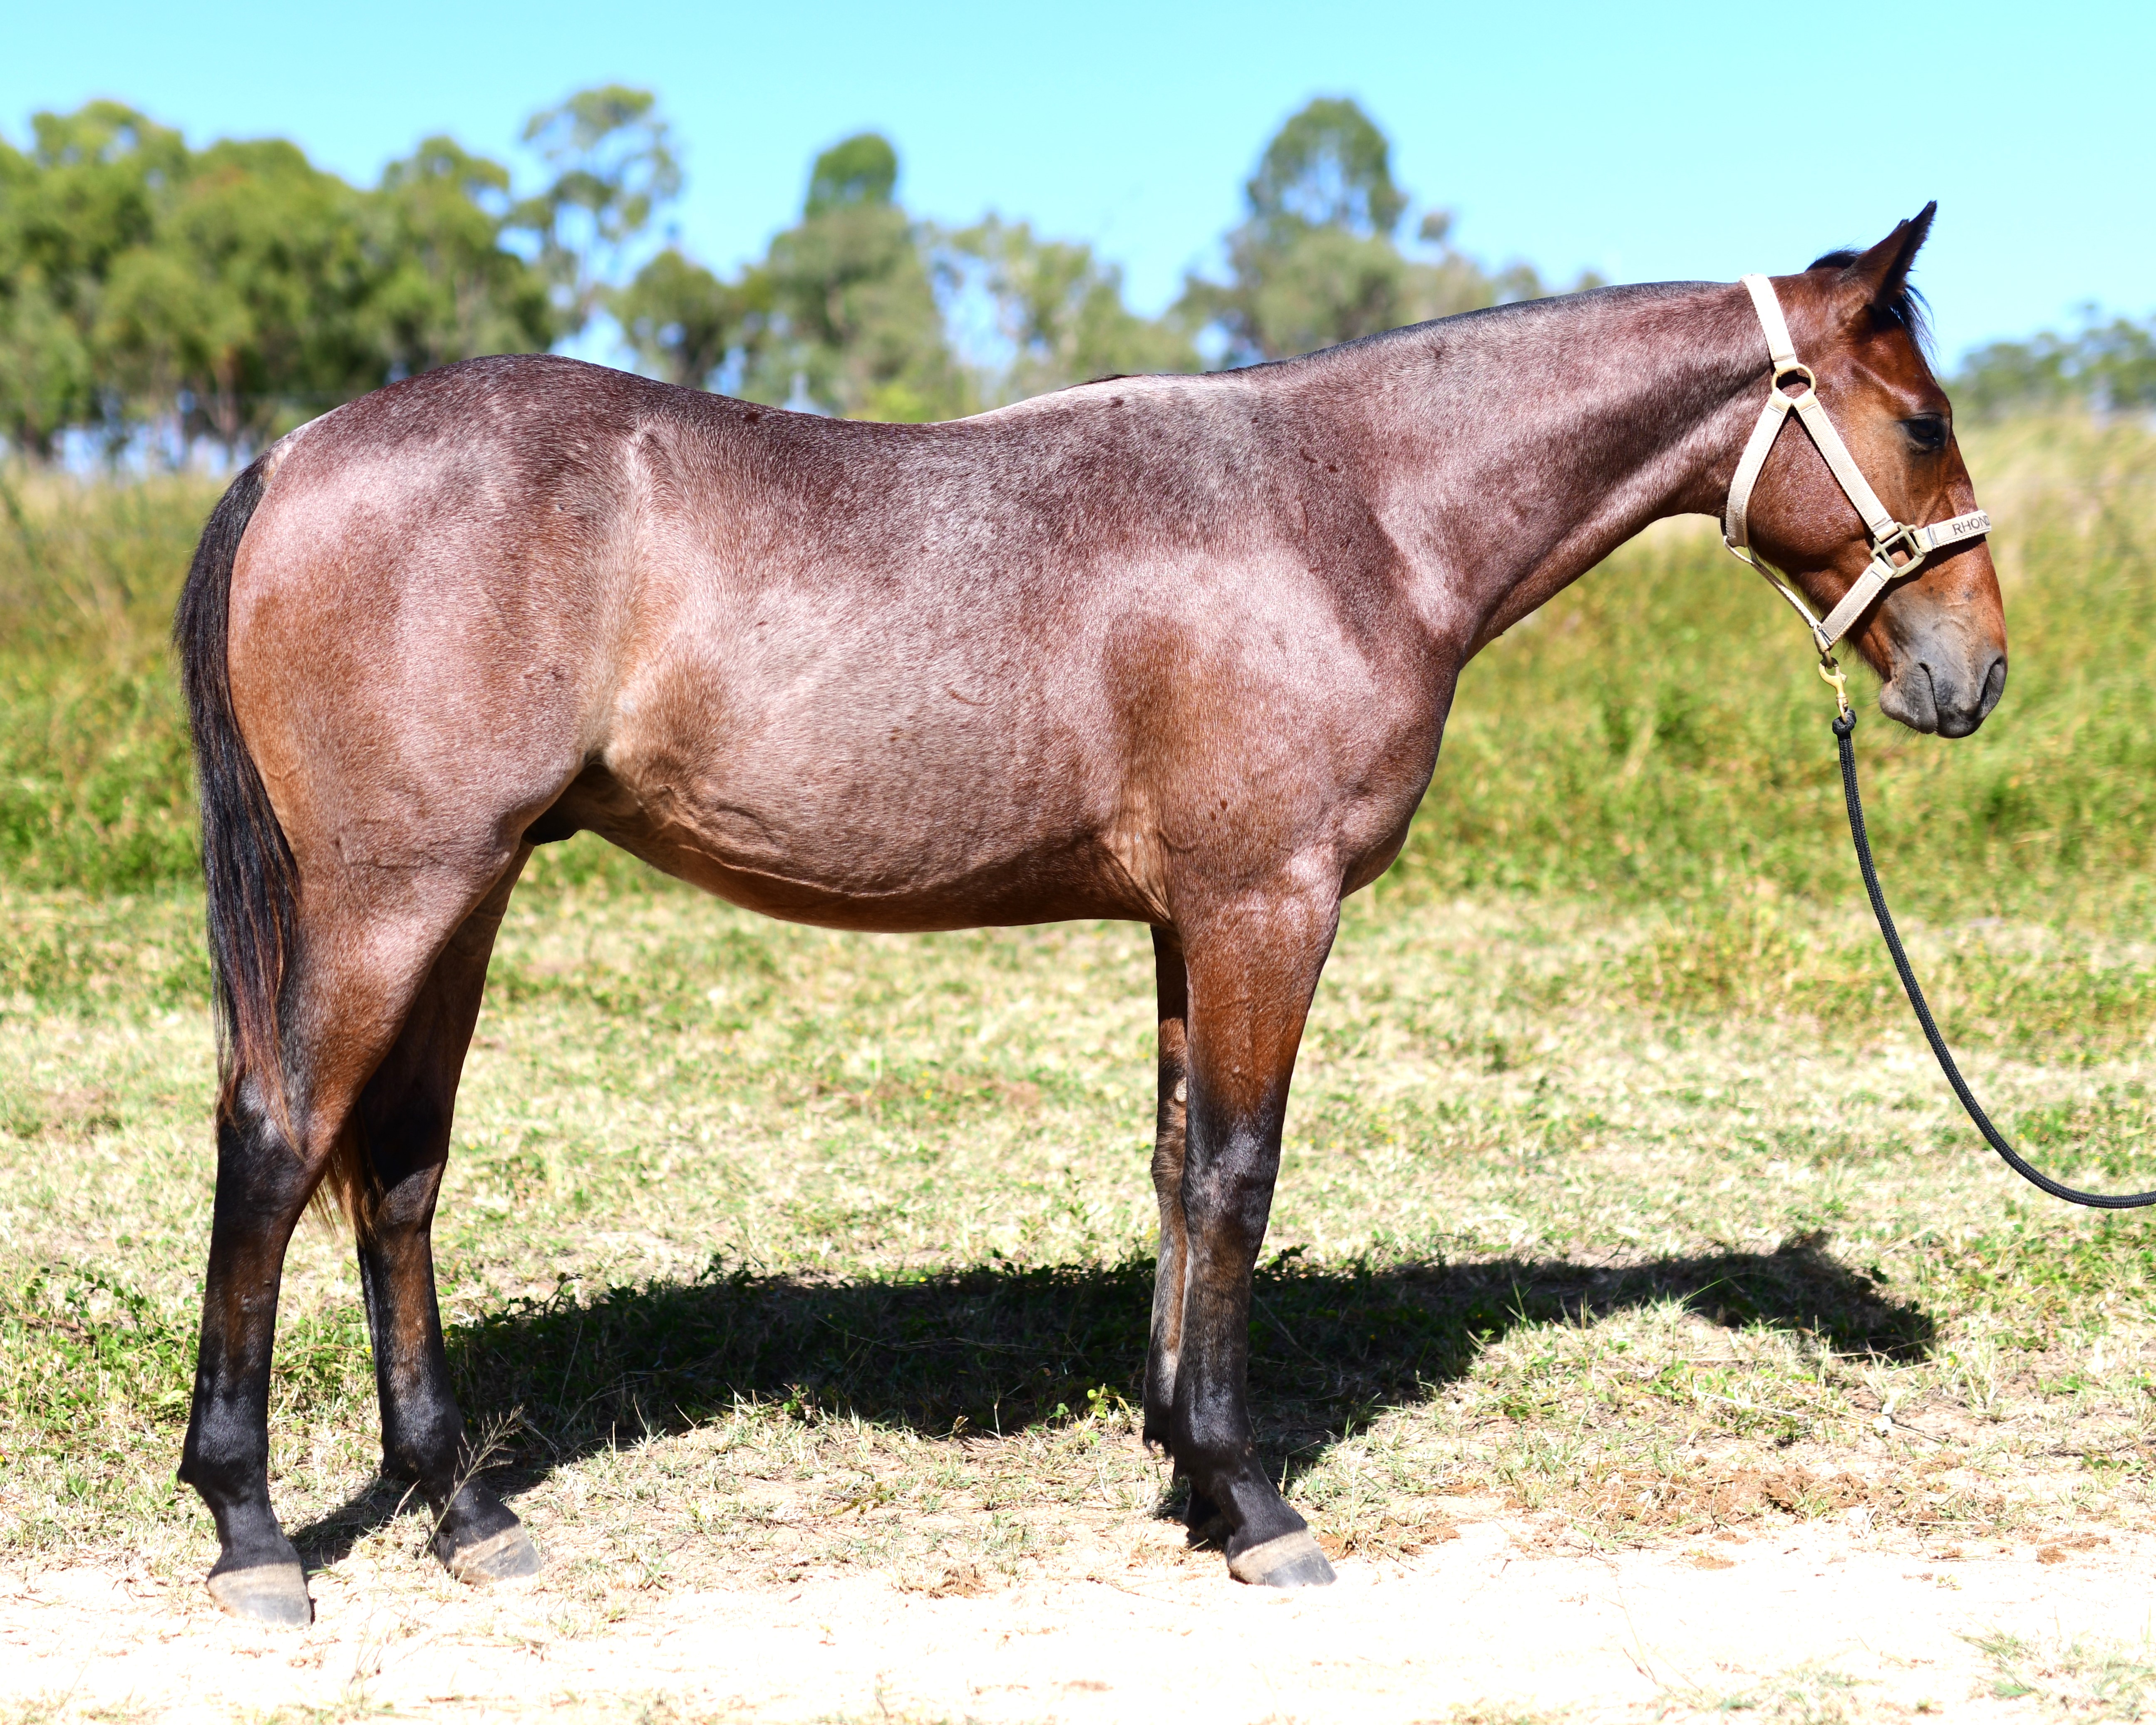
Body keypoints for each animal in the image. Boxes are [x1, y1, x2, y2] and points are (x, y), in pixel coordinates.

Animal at [172, 205, 2003, 1623]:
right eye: (1919, 421)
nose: (1971, 671)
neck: (1350, 508)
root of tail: (295, 450)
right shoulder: (1269, 903)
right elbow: (1241, 1174)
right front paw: (1254, 1505)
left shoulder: (1190, 921)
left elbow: (1179, 1168)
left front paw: (1187, 1468)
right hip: (396, 895)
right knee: (277, 1146)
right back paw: (255, 1533)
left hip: (464, 896)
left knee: (395, 1175)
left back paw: (463, 1510)